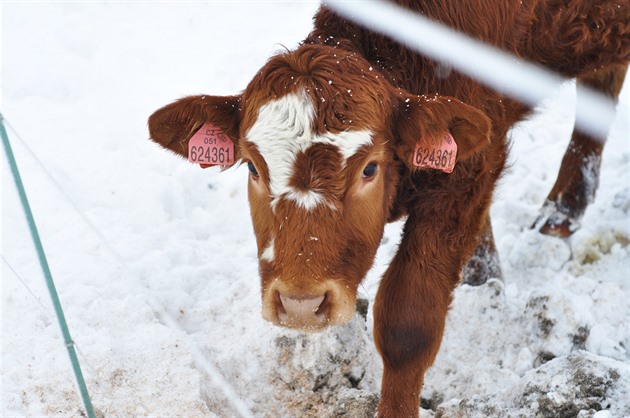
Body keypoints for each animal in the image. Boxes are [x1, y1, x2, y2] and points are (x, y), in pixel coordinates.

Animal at [147, 1, 628, 416]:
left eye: (370, 168)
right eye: (251, 166)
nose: (301, 304)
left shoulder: (469, 167)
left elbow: (407, 325)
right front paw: (485, 277)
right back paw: (566, 208)